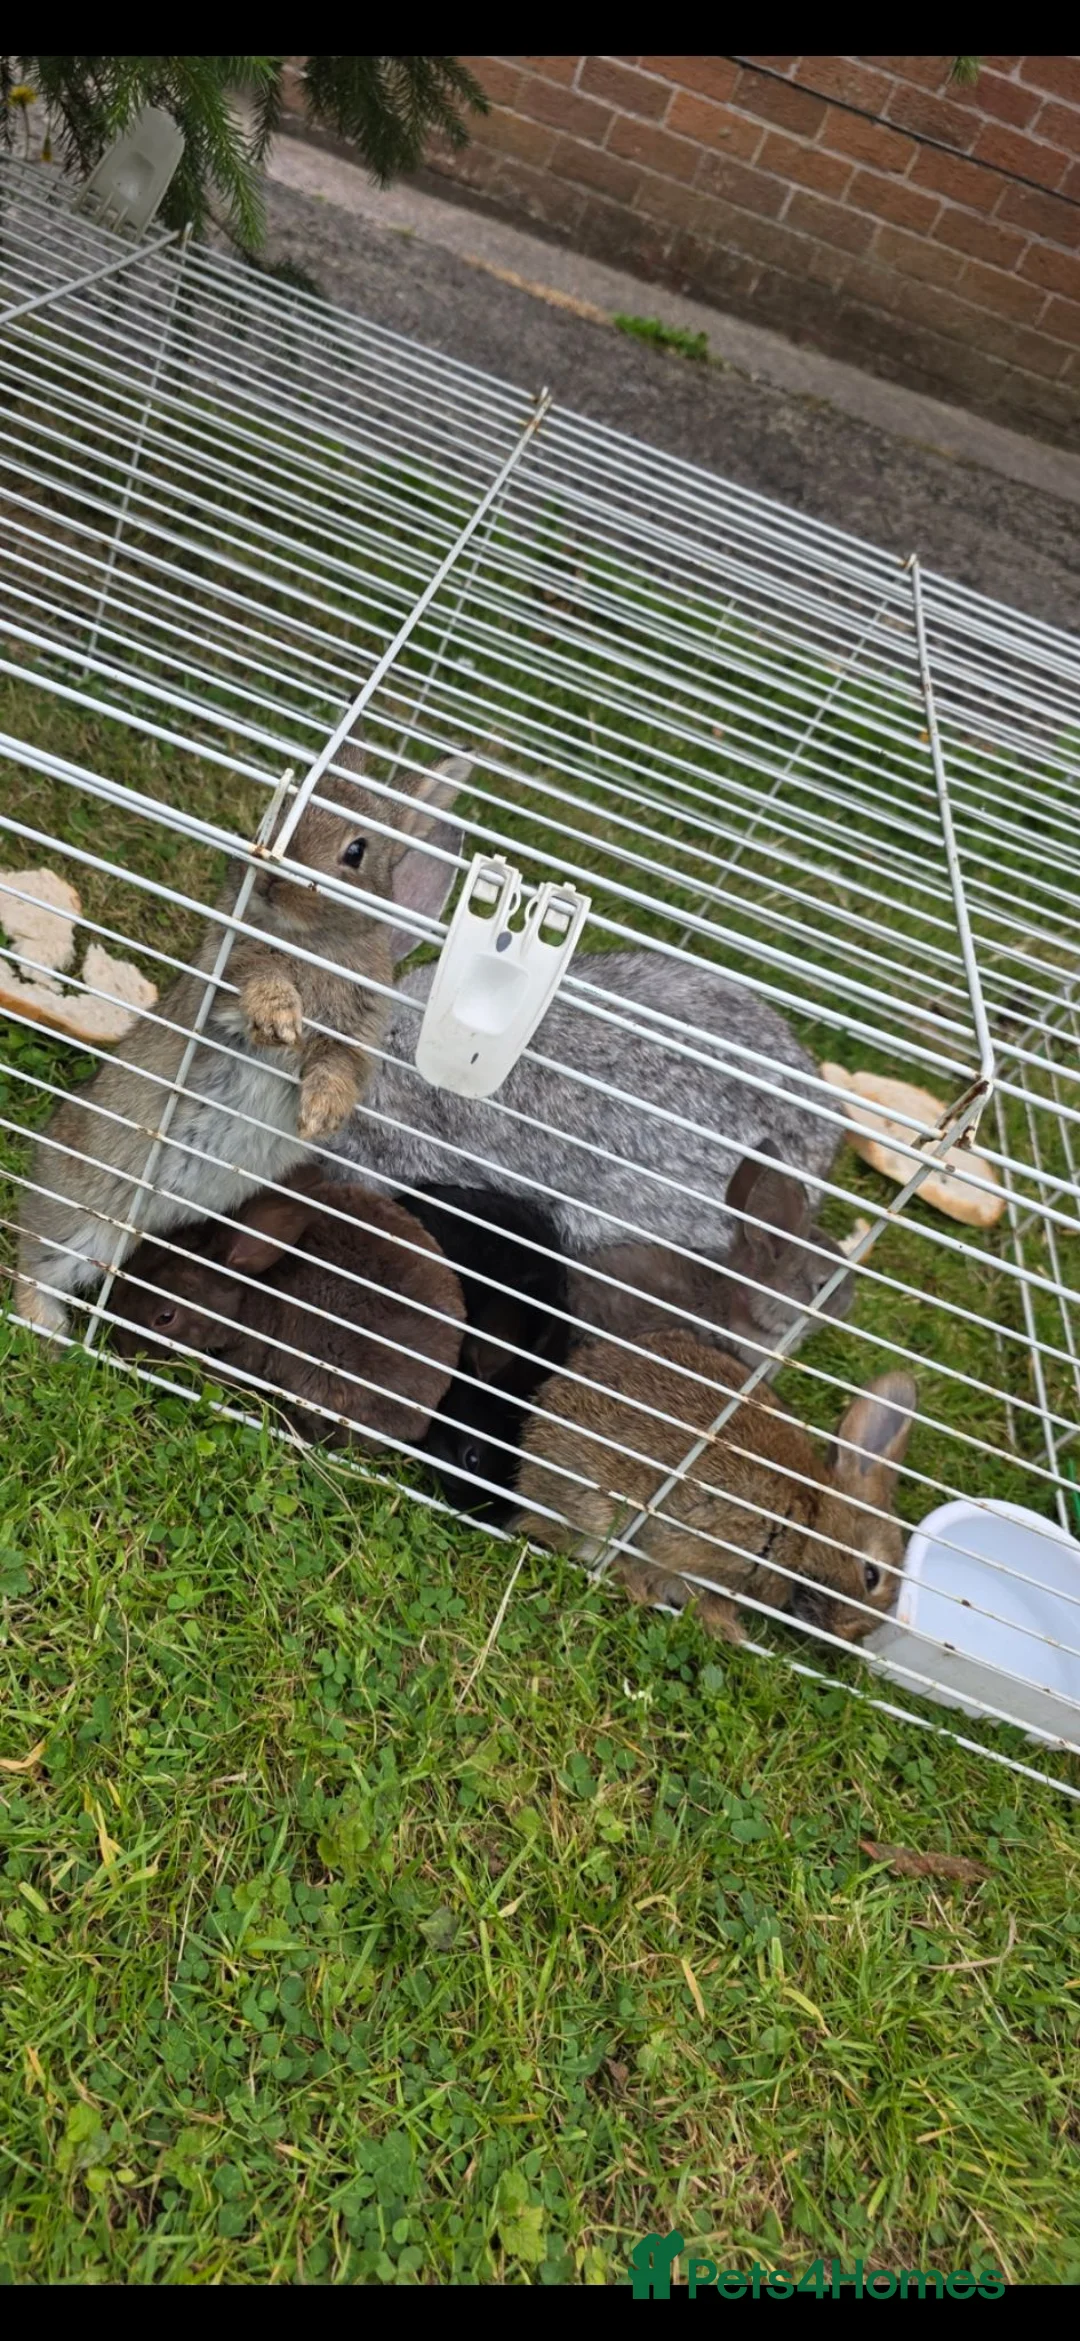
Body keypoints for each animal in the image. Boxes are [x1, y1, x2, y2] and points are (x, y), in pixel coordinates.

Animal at [14, 741, 471, 1337]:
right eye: (277, 817)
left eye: (356, 850)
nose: (275, 881)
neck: (311, 941)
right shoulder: (222, 979)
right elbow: (257, 978)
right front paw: (279, 1019)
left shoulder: (357, 1034)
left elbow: (338, 1066)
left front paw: (320, 1113)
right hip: (82, 1215)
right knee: (33, 1259)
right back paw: (48, 1331)